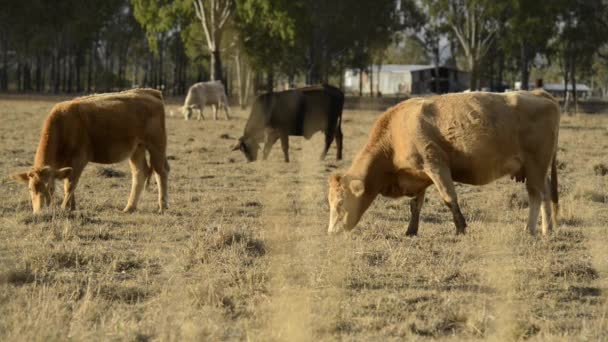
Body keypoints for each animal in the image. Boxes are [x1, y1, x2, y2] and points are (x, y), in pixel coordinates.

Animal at [10, 89, 171, 214]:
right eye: (30, 189)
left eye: (50, 187)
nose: (39, 212)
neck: (63, 125)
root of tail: (150, 92)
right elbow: (68, 183)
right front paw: (71, 207)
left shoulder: (79, 159)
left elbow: (70, 184)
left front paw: (64, 208)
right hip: (137, 148)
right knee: (140, 173)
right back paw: (129, 208)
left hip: (156, 145)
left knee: (160, 172)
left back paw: (162, 207)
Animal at [328, 89, 560, 236]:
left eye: (340, 203)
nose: (331, 233)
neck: (394, 135)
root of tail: (538, 94)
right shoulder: (418, 174)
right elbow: (415, 205)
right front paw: (411, 230)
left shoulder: (435, 165)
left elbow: (449, 197)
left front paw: (460, 228)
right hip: (538, 169)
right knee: (546, 193)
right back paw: (547, 229)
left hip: (536, 165)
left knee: (535, 195)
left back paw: (530, 229)